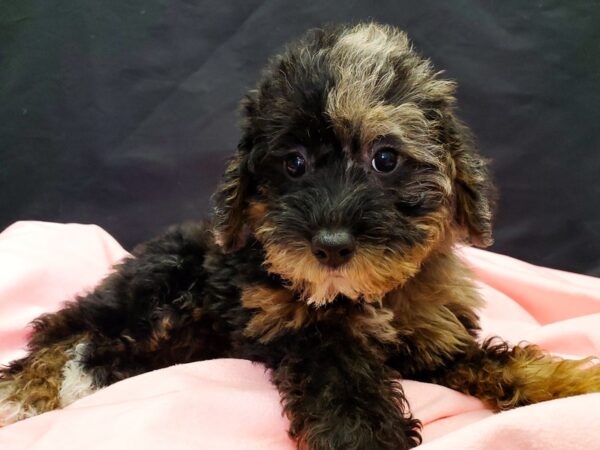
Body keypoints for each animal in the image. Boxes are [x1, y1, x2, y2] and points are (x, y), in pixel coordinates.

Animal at [1, 22, 600, 450]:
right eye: (294, 163)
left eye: (385, 159)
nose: (330, 246)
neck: (365, 296)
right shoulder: (309, 334)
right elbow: (347, 395)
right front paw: (367, 441)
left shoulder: (432, 337)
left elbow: (494, 361)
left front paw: (568, 383)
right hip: (160, 293)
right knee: (61, 333)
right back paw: (35, 386)